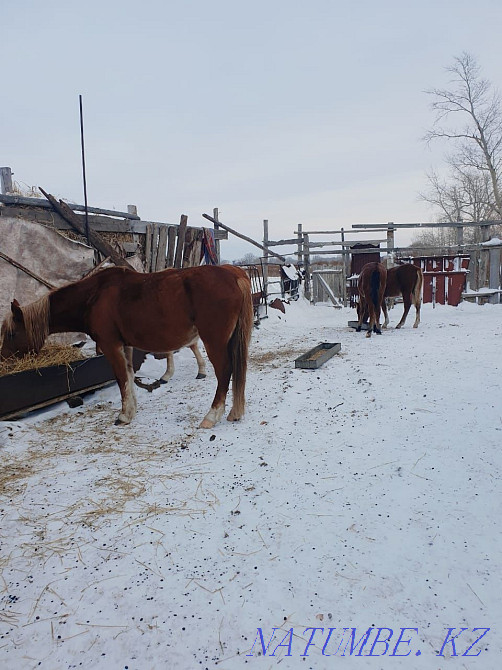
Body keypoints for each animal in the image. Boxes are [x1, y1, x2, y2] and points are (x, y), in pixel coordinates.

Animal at [0, 264, 253, 428]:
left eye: (11, 333)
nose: (3, 360)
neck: (93, 296)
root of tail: (234, 273)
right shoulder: (127, 346)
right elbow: (130, 376)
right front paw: (132, 410)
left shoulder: (110, 345)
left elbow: (121, 378)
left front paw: (123, 416)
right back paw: (234, 412)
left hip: (214, 341)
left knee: (225, 372)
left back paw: (212, 416)